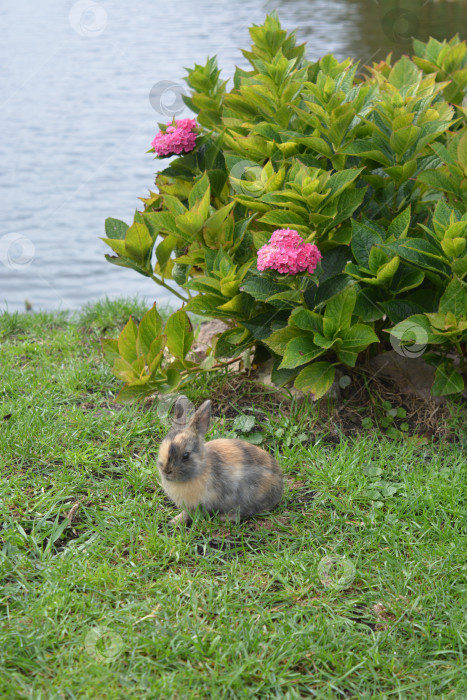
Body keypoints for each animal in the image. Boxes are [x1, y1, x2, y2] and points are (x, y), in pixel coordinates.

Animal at [157, 394, 284, 524]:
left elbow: (190, 514)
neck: (201, 468)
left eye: (186, 455)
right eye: (160, 448)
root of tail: (279, 486)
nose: (166, 471)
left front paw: (174, 522)